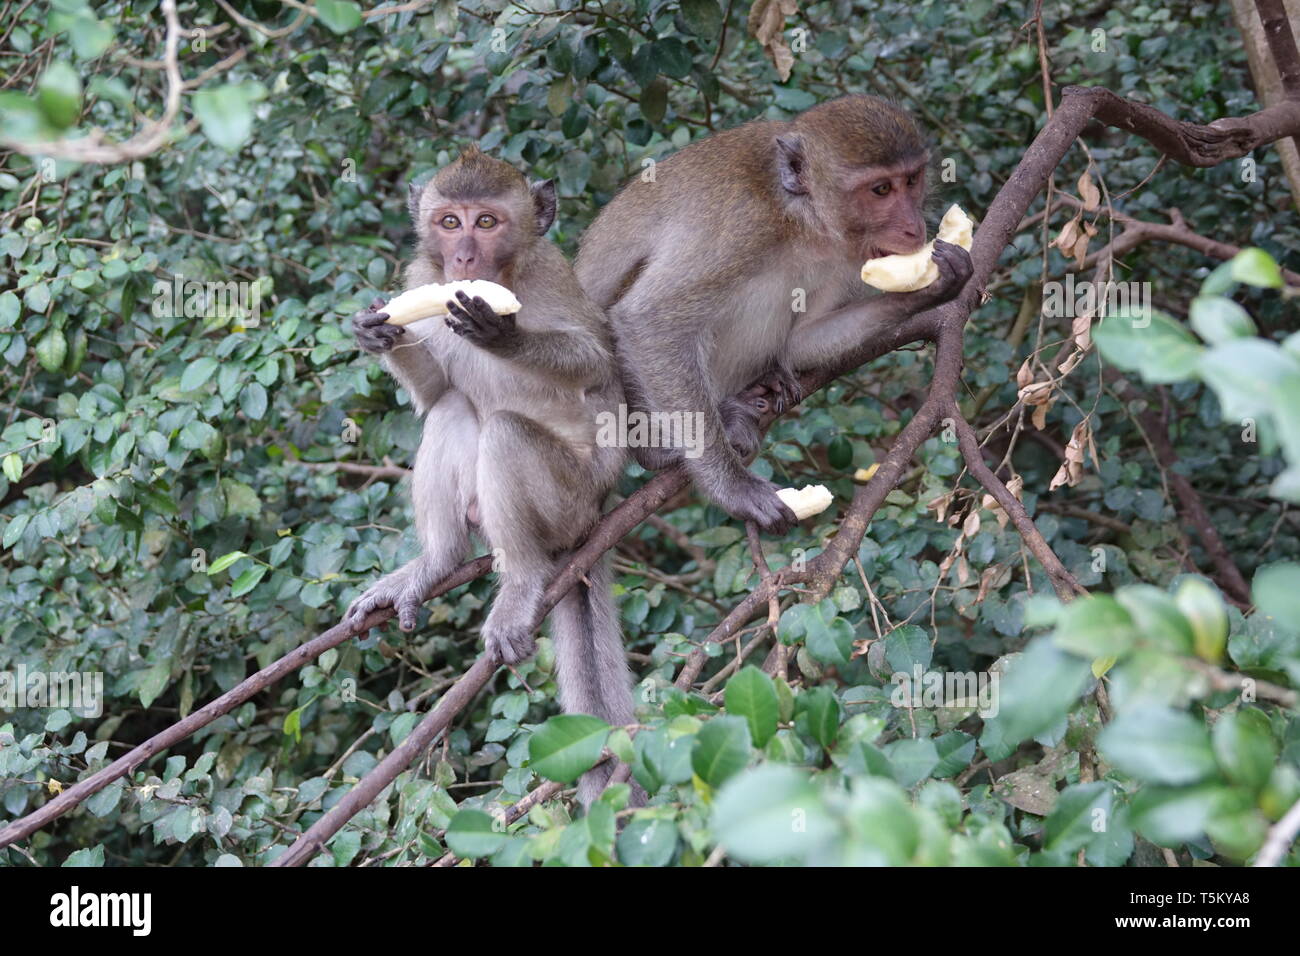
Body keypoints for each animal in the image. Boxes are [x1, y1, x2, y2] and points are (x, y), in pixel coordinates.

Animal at [343, 145, 631, 806]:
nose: (464, 259)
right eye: (450, 223)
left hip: (571, 502)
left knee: (504, 433)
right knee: (455, 409)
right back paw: (438, 560)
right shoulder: (419, 280)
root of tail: (598, 514)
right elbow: (433, 395)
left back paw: (521, 582)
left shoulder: (552, 273)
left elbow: (595, 360)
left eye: (488, 222)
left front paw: (504, 333)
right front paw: (378, 332)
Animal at [574, 93, 972, 535]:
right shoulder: (742, 226)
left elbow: (803, 339)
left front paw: (935, 286)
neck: (800, 219)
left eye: (912, 180)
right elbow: (648, 320)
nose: (914, 227)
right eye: (881, 189)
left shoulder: (842, 260)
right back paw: (663, 449)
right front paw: (732, 487)